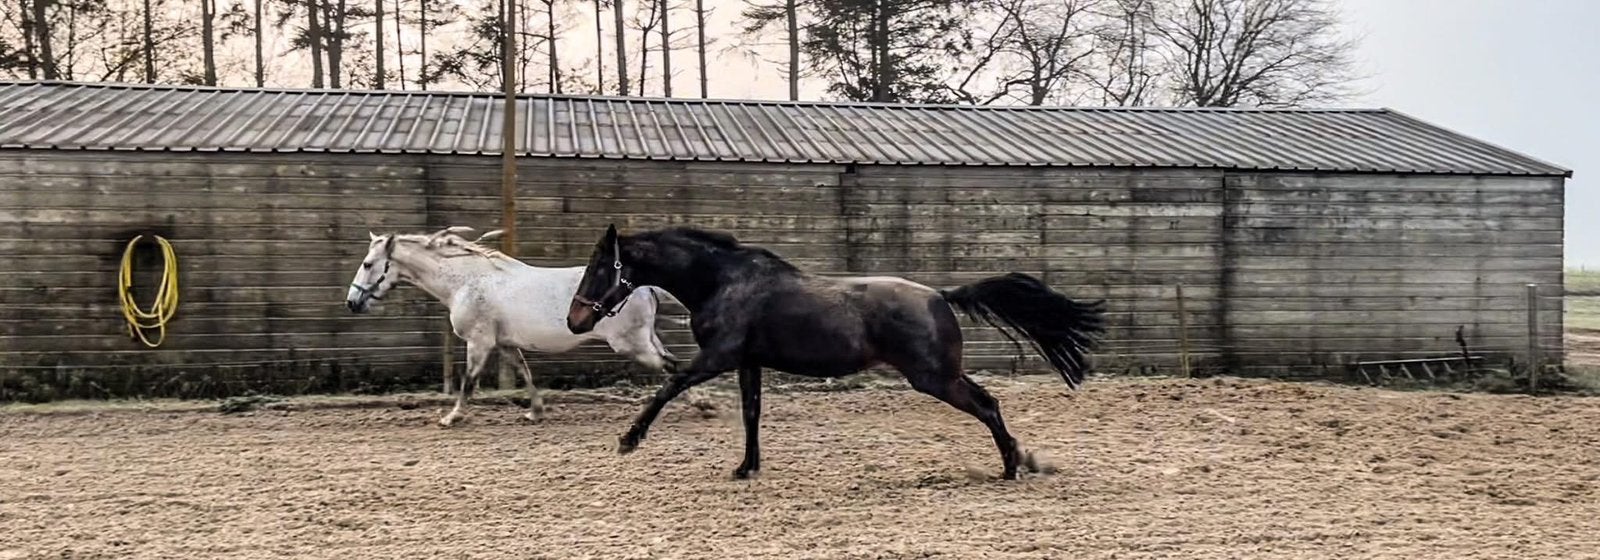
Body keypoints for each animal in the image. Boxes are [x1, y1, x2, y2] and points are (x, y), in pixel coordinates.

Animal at [345, 226, 679, 427]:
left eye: (367, 264)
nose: (352, 302)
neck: (466, 282)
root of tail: (644, 286)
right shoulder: (504, 344)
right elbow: (525, 373)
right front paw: (536, 412)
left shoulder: (479, 342)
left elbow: (469, 381)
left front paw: (451, 417)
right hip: (645, 340)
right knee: (673, 364)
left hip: (631, 344)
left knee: (671, 366)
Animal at [565, 224, 1107, 480]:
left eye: (600, 267)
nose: (575, 320)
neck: (724, 283)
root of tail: (940, 295)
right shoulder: (747, 363)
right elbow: (751, 414)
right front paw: (746, 468)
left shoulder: (718, 358)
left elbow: (669, 386)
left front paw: (629, 440)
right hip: (940, 374)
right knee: (989, 401)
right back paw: (1018, 460)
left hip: (933, 377)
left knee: (988, 405)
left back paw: (1012, 466)